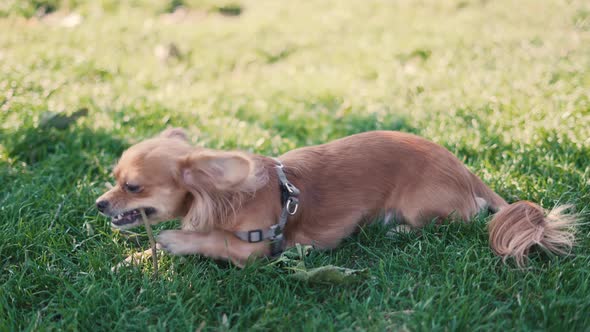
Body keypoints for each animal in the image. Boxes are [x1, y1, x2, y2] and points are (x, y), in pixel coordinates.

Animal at [97, 127, 580, 268]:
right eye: (113, 179)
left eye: (132, 187)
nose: (99, 204)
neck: (220, 197)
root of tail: (466, 171)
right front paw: (134, 261)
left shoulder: (255, 248)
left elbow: (212, 242)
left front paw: (176, 240)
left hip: (423, 205)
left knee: (454, 220)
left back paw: (399, 231)